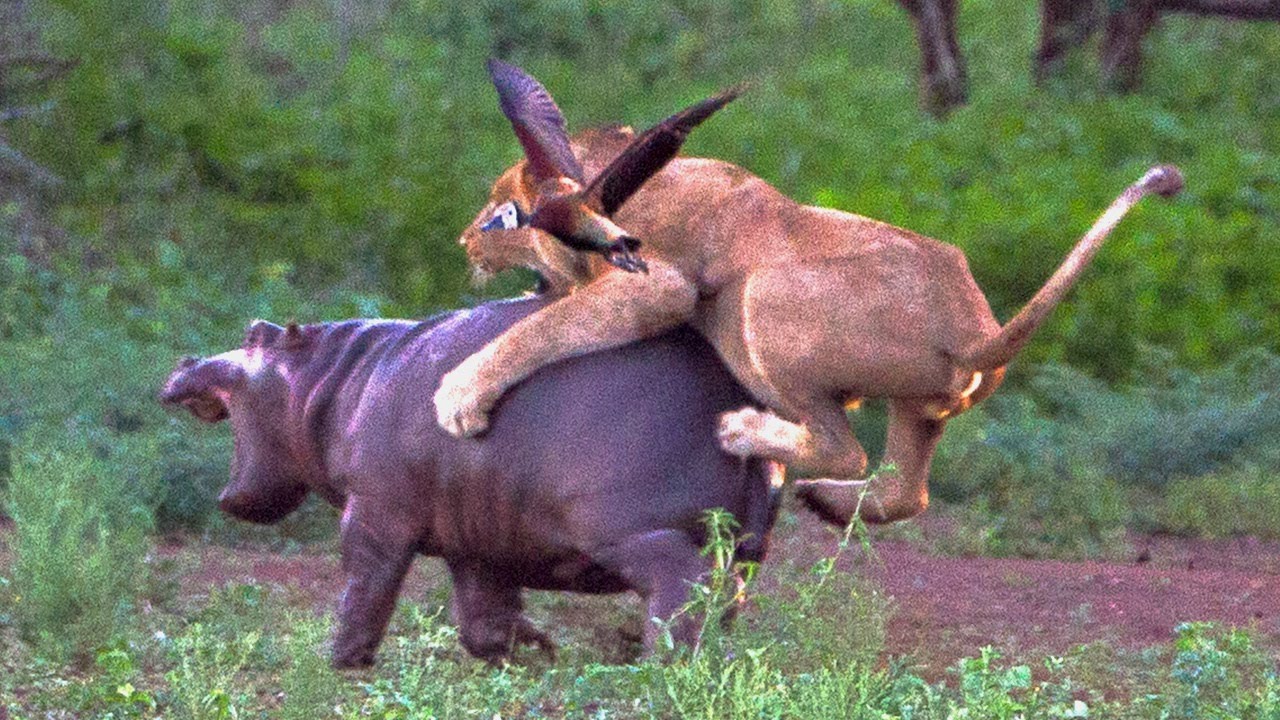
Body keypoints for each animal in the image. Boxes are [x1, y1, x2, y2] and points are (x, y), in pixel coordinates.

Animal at [160, 294, 778, 666]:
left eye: (255, 335)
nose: (184, 360)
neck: (329, 378)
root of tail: (734, 401)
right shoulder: (477, 539)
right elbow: (483, 614)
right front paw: (534, 649)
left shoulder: (375, 510)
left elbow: (366, 581)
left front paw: (338, 661)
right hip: (739, 547)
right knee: (727, 594)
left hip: (629, 534)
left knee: (684, 582)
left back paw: (658, 663)